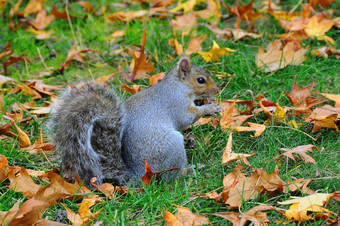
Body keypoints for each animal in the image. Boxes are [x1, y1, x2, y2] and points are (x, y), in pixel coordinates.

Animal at [49, 54, 222, 185]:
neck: (178, 85)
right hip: (172, 148)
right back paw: (191, 169)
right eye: (201, 80)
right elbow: (187, 118)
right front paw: (210, 108)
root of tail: (140, 174)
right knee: (173, 176)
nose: (217, 89)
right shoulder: (176, 103)